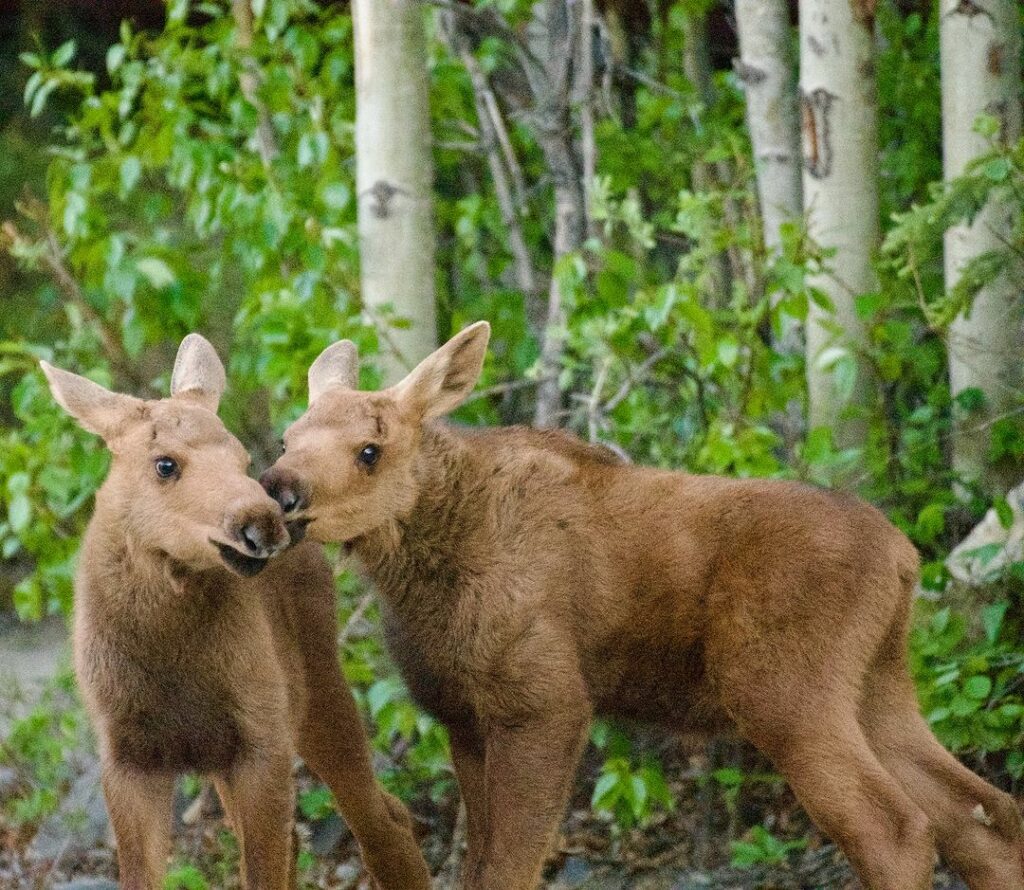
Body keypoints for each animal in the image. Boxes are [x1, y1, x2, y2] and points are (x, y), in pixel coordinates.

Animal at [40, 333, 428, 888]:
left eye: (241, 458)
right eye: (165, 463)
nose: (263, 524)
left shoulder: (261, 738)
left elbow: (263, 870)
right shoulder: (129, 756)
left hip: (313, 688)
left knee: (379, 819)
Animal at [262, 323, 1024, 888]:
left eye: (370, 450)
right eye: (288, 437)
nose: (279, 489)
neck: (424, 575)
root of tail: (904, 557)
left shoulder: (546, 702)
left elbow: (510, 867)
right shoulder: (465, 717)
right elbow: (480, 865)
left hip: (785, 691)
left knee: (895, 829)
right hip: (879, 685)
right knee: (982, 814)